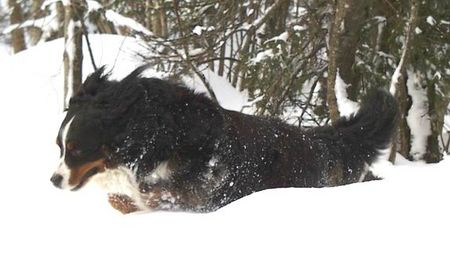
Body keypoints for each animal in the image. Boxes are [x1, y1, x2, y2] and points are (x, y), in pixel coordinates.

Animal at [51, 66, 400, 214]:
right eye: (60, 147)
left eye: (76, 150)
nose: (54, 180)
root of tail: (322, 140)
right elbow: (123, 198)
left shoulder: (198, 186)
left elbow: (161, 194)